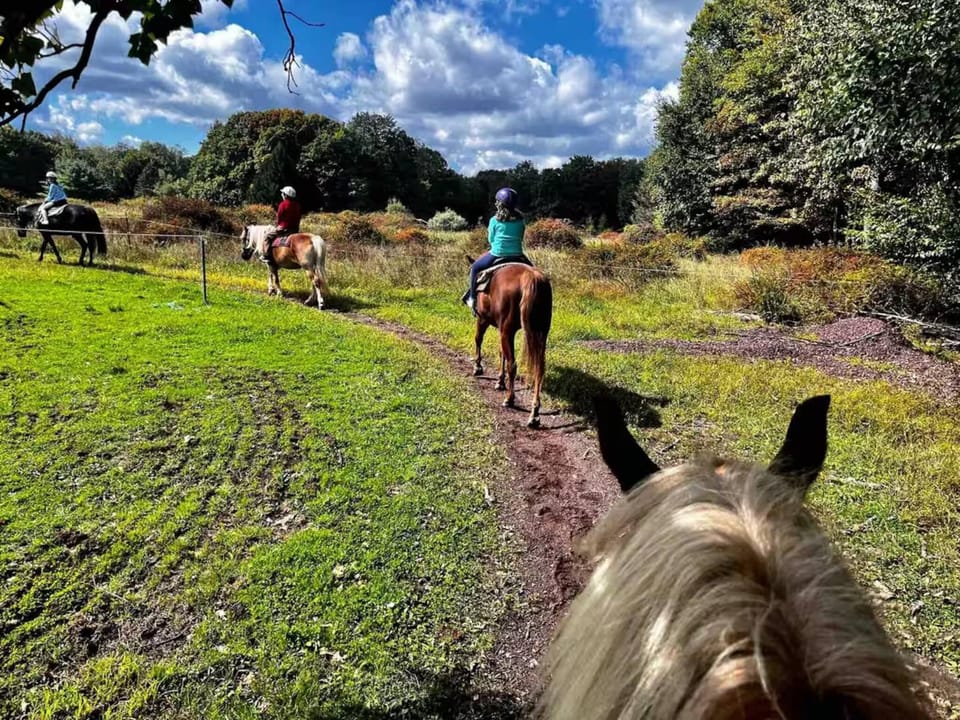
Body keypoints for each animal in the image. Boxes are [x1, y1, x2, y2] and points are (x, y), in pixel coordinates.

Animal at [470, 259, 553, 428]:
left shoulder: (483, 319)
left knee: (512, 365)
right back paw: (534, 414)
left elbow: (478, 339)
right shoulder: (501, 329)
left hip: (507, 330)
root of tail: (531, 277)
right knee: (539, 369)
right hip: (541, 332)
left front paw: (478, 367)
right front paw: (500, 381)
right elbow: (501, 353)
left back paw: (510, 399)